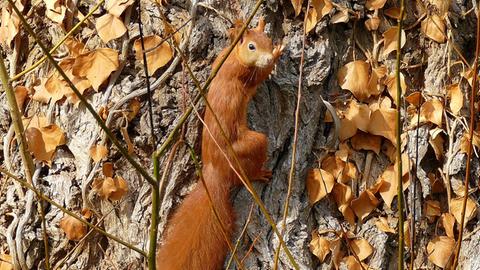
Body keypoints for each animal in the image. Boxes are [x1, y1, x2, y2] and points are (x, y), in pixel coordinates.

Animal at [158, 17, 284, 268]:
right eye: (251, 46)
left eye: (267, 39)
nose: (267, 55)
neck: (232, 57)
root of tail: (214, 171)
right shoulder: (243, 73)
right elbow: (260, 75)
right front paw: (277, 54)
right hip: (249, 145)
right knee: (249, 169)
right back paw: (259, 173)